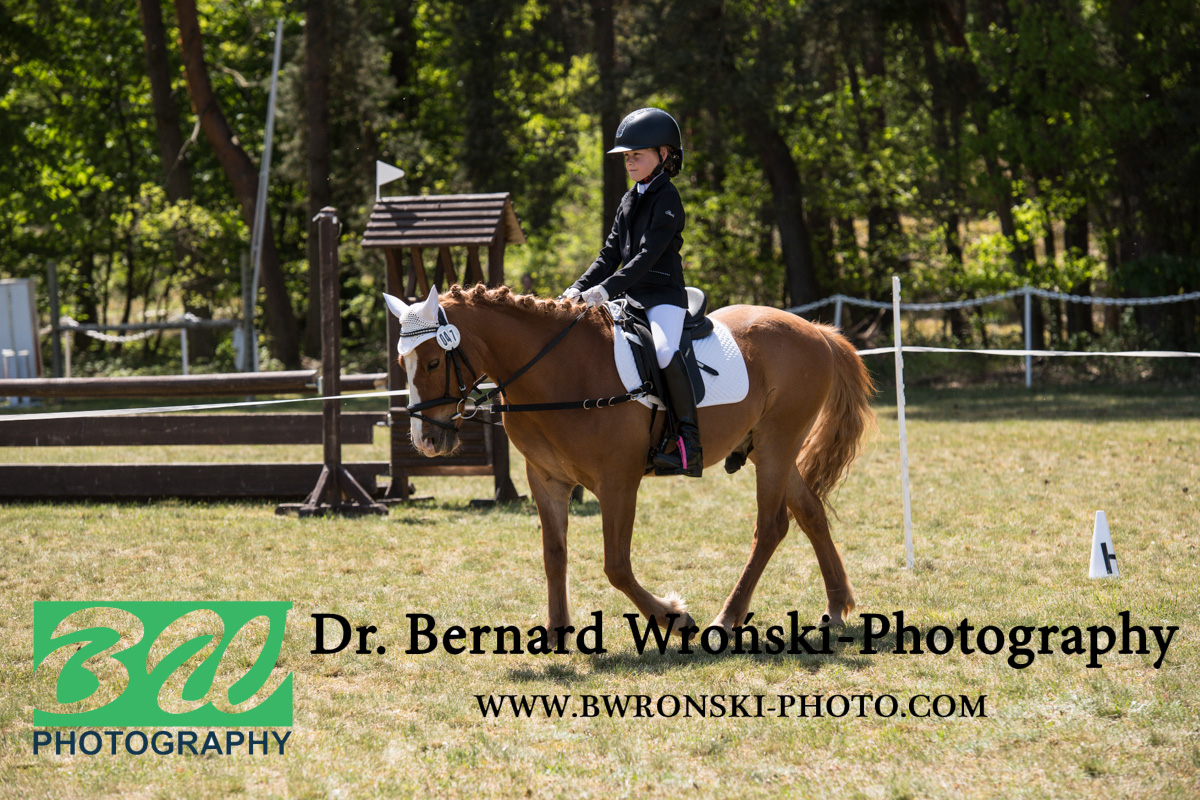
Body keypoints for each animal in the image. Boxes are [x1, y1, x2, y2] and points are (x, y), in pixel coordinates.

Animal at [384, 283, 875, 638]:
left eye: (433, 362)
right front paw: (557, 633)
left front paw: (674, 617)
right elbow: (554, 555)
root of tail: (816, 331)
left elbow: (616, 566)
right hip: (767, 448)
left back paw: (725, 620)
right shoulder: (546, 480)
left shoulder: (617, 481)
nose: (426, 440)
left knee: (771, 527)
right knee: (810, 512)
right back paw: (836, 606)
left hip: (776, 444)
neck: (557, 373)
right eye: (403, 364)